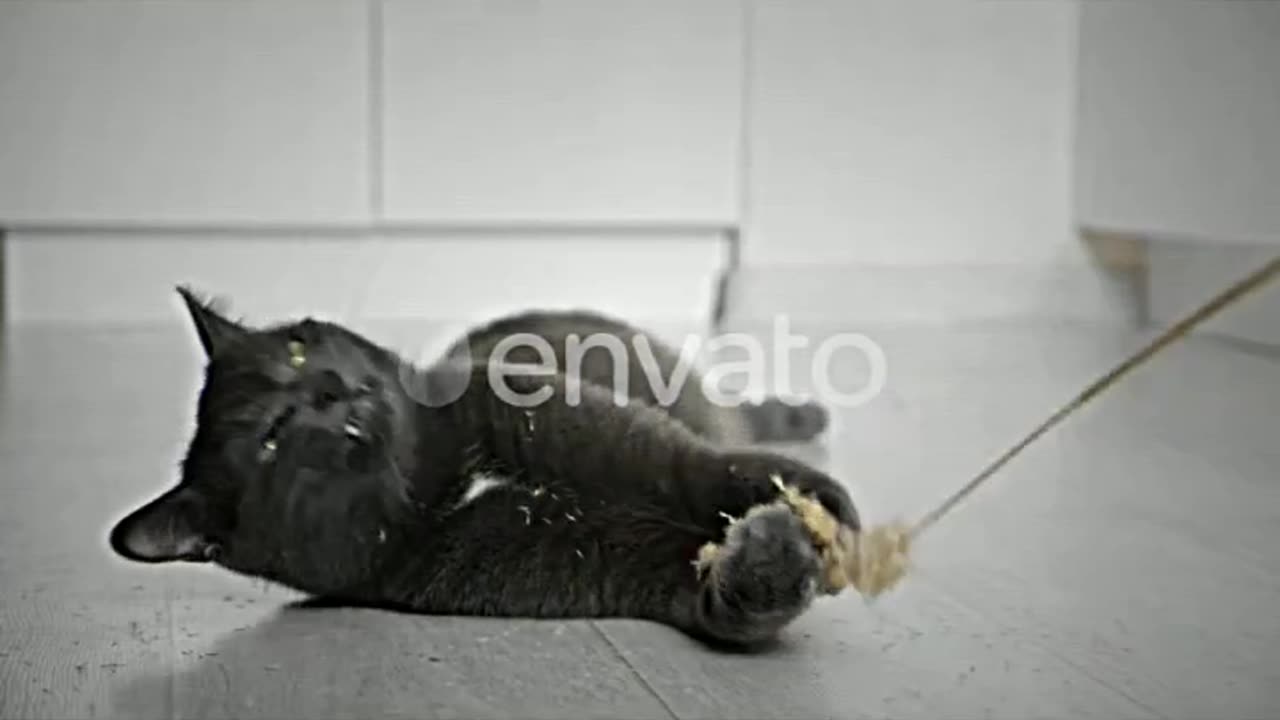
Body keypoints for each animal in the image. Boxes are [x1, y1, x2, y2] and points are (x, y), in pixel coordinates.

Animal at [110, 286, 860, 645]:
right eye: (271, 438)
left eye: (296, 348)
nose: (325, 386)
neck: (438, 481)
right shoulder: (563, 563)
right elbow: (693, 589)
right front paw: (773, 562)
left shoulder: (570, 418)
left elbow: (687, 464)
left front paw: (815, 500)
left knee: (734, 418)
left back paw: (801, 419)